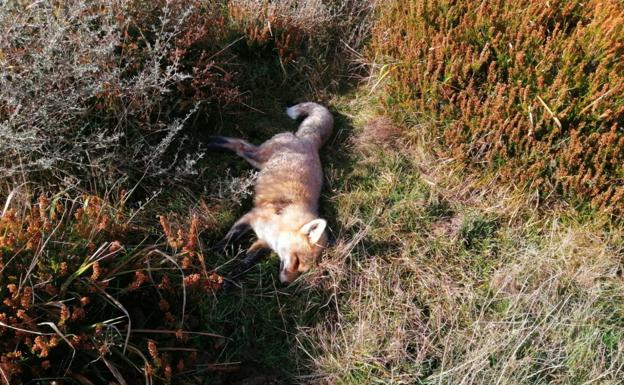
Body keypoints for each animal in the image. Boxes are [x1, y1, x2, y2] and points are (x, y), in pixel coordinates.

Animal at [210, 101, 334, 282]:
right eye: (297, 261)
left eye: (301, 271)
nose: (284, 283)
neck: (278, 225)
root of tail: (309, 141)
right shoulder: (250, 216)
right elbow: (229, 239)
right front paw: (216, 250)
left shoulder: (263, 242)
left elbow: (245, 264)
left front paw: (230, 279)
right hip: (257, 157)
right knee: (240, 145)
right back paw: (213, 142)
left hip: (258, 162)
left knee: (241, 145)